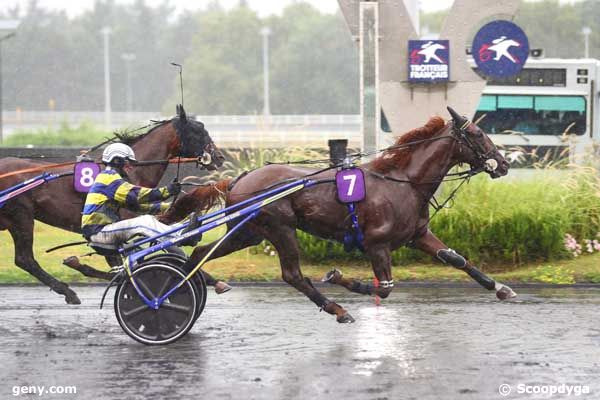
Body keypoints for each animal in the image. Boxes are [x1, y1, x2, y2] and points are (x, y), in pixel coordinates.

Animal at [0, 110, 224, 304]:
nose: (219, 157)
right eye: (198, 131)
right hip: (22, 217)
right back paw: (67, 291)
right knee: (25, 259)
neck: (132, 171)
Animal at [162, 108, 512, 322]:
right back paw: (336, 308)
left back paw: (182, 286)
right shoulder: (376, 244)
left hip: (247, 233)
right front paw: (341, 278)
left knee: (201, 252)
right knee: (293, 275)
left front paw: (500, 288)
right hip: (280, 228)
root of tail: (239, 178)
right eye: (478, 134)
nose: (504, 163)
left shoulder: (417, 235)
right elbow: (384, 287)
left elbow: (456, 259)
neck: (404, 182)